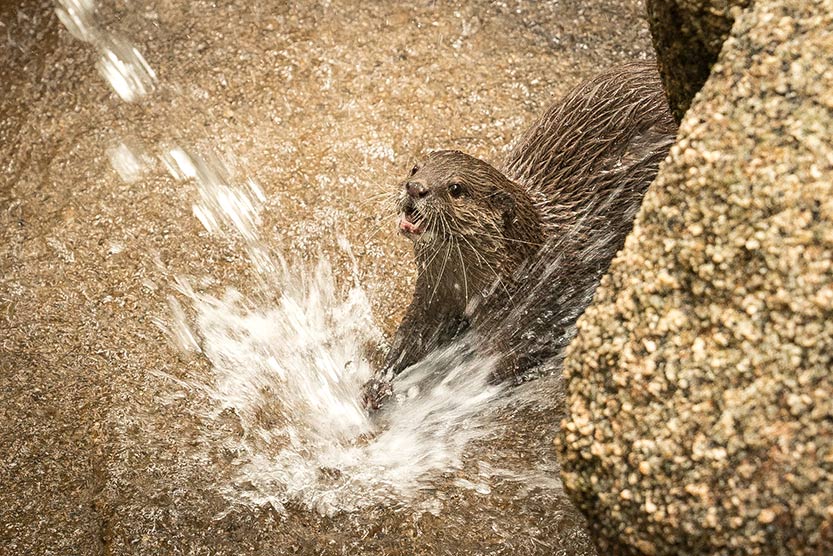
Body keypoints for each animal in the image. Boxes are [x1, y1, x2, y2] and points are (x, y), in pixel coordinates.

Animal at [363, 62, 677, 409]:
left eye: (456, 188)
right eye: (416, 169)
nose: (415, 188)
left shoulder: (535, 313)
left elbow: (496, 366)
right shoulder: (433, 296)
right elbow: (409, 338)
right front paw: (380, 384)